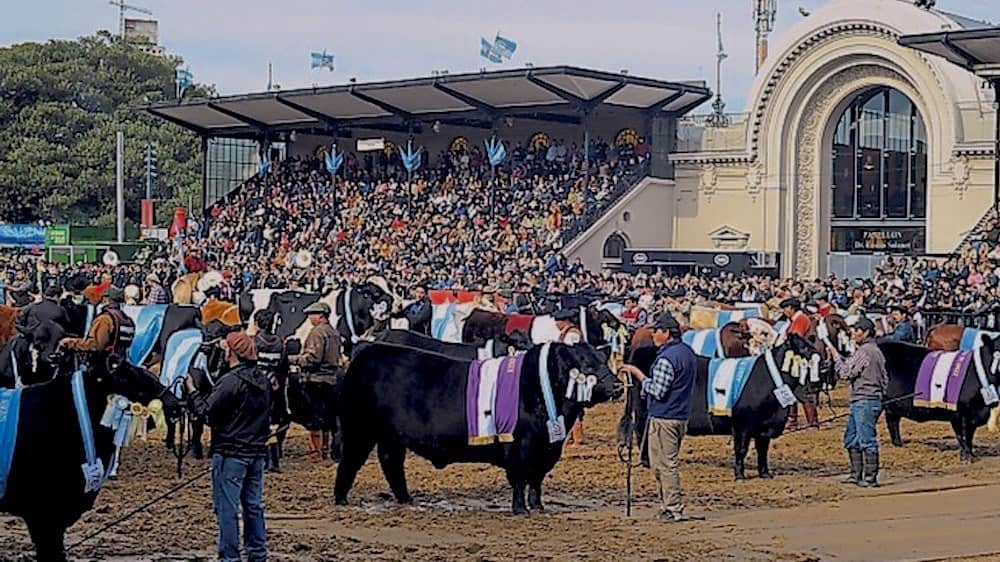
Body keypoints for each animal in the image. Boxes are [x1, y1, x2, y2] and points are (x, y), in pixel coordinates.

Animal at [332, 342, 620, 512]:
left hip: (391, 436)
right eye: (586, 365)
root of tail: (365, 354)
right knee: (350, 461)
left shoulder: (547, 448)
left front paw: (538, 508)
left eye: (604, 361)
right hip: (359, 428)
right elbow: (519, 478)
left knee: (391, 462)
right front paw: (520, 510)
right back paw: (341, 500)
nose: (617, 385)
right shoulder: (520, 445)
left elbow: (536, 480)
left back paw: (406, 499)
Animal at [624, 334, 828, 480]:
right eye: (803, 348)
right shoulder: (742, 424)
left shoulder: (764, 425)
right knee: (641, 433)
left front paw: (765, 473)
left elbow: (763, 449)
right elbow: (741, 449)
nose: (824, 366)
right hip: (643, 413)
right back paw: (646, 462)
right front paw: (739, 475)